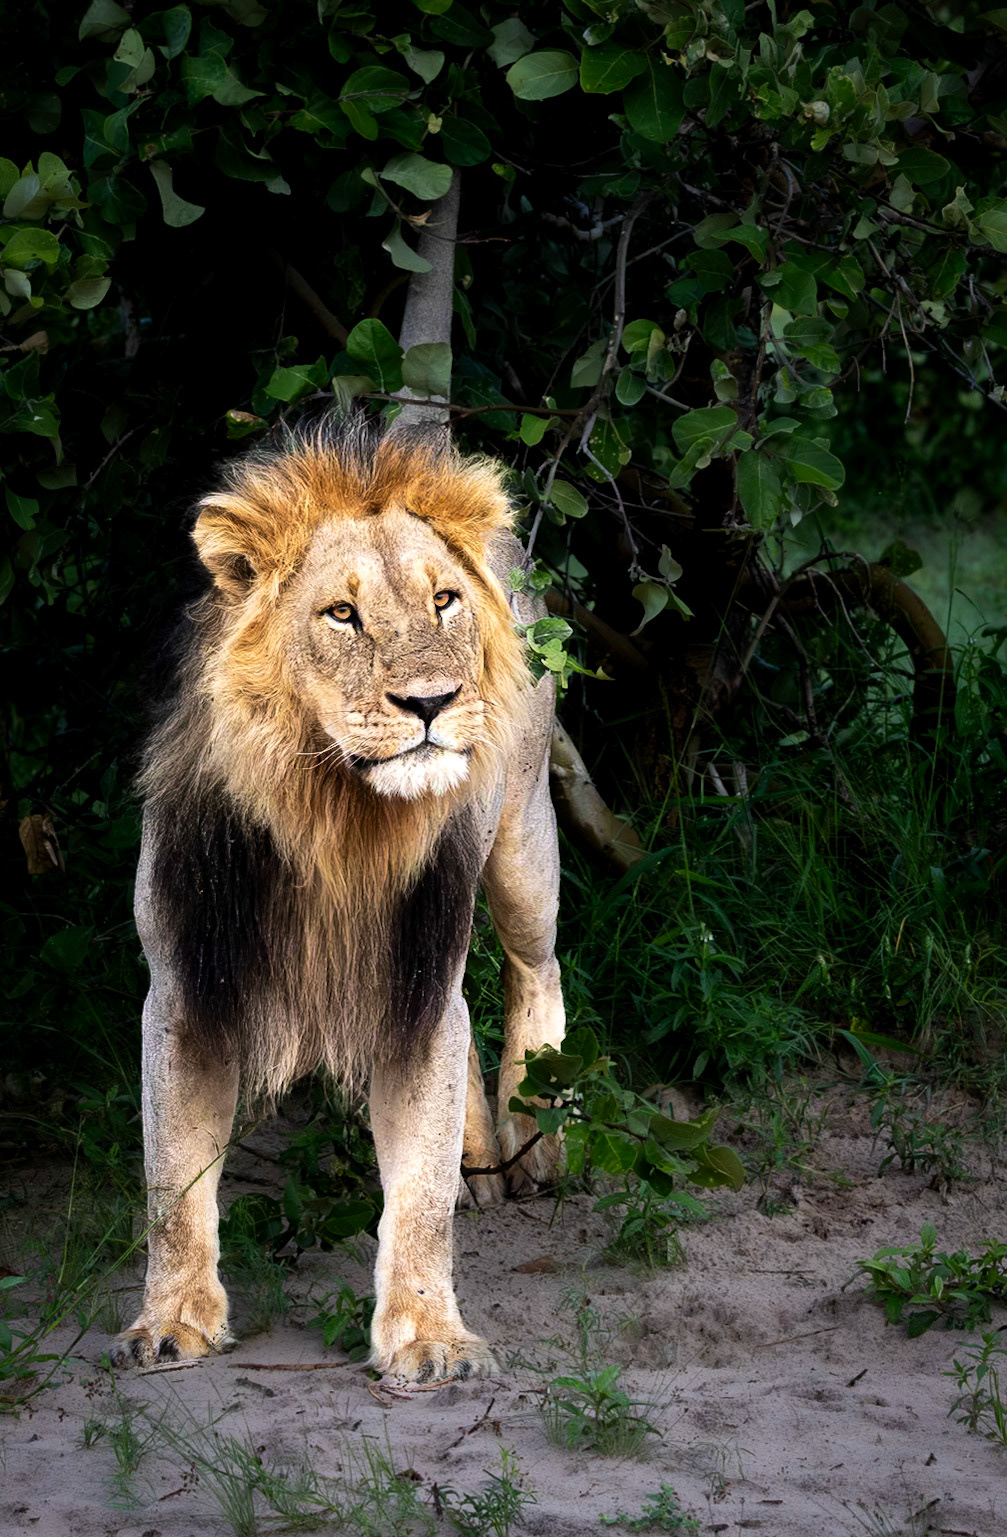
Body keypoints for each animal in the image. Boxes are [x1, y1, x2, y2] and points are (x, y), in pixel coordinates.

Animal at [111, 419, 565, 1382]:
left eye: (443, 602)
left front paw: (428, 1336)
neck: (332, 818)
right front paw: (170, 1322)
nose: (431, 701)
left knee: (533, 965)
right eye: (341, 615)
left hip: (522, 838)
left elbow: (418, 1198)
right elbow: (172, 1183)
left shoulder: (415, 978)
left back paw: (539, 1136)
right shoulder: (184, 986)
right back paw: (480, 1158)